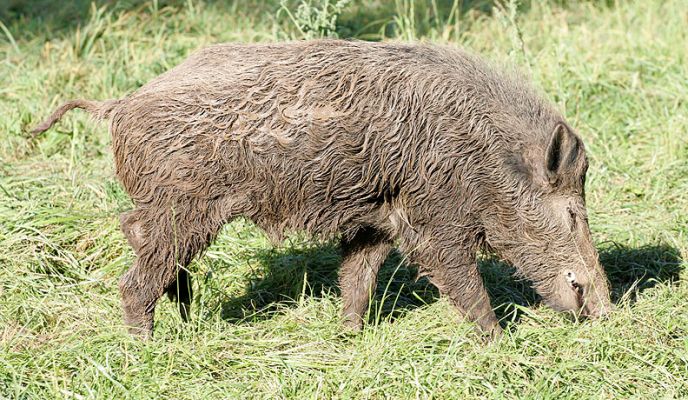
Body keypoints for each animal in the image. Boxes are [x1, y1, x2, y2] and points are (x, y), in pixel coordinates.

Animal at [32, 39, 612, 340]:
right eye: (573, 213)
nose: (608, 313)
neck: (484, 158)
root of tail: (120, 105)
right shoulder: (432, 223)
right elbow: (464, 283)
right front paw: (497, 343)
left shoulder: (377, 220)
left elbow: (357, 276)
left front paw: (350, 335)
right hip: (183, 210)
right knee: (134, 280)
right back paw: (149, 345)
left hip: (165, 210)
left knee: (133, 232)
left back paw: (185, 311)